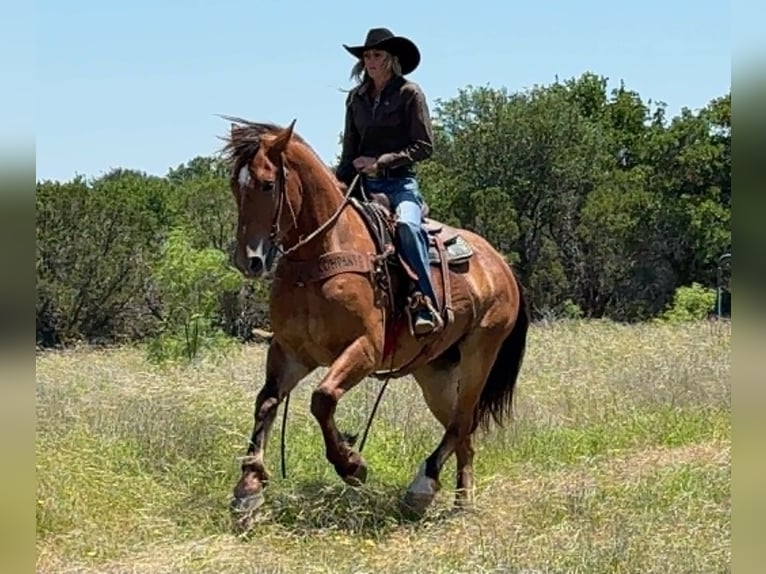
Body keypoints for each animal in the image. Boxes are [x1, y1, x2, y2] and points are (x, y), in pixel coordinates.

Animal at [221, 117, 529, 529]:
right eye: (234, 185)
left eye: (268, 184)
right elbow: (266, 402)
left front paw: (351, 463)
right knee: (463, 429)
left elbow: (322, 399)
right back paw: (457, 500)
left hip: (480, 353)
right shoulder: (291, 352)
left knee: (463, 420)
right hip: (433, 372)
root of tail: (500, 264)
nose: (248, 261)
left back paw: (425, 487)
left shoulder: (364, 349)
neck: (323, 251)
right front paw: (249, 488)